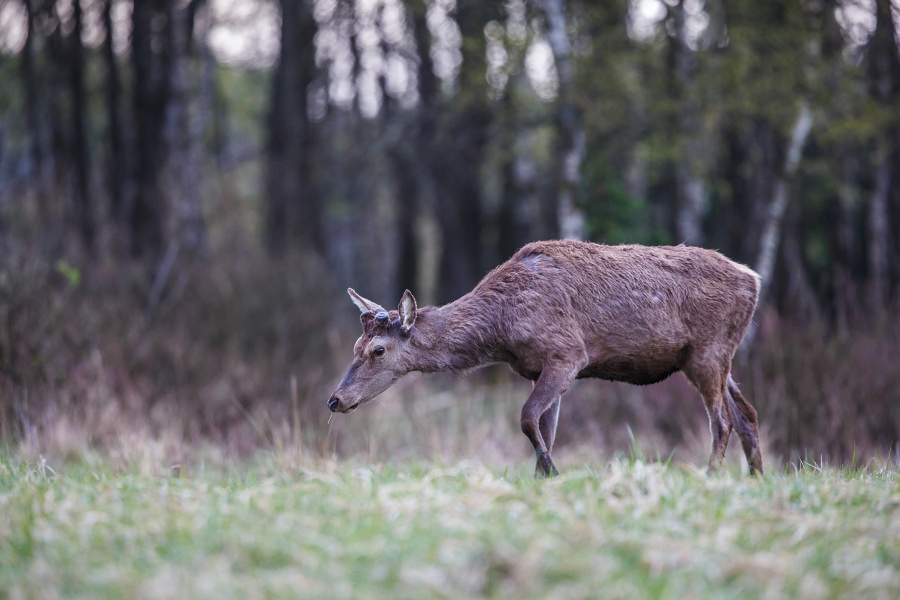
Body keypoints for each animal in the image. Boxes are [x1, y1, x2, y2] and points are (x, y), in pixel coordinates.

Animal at [326, 239, 764, 478]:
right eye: (354, 347)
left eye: (378, 350)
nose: (335, 399)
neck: (501, 330)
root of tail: (754, 278)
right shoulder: (540, 369)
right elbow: (544, 429)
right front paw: (543, 479)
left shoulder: (567, 353)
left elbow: (525, 419)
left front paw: (554, 472)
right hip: (715, 356)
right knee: (747, 414)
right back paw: (756, 479)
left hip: (708, 350)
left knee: (722, 421)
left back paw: (711, 477)